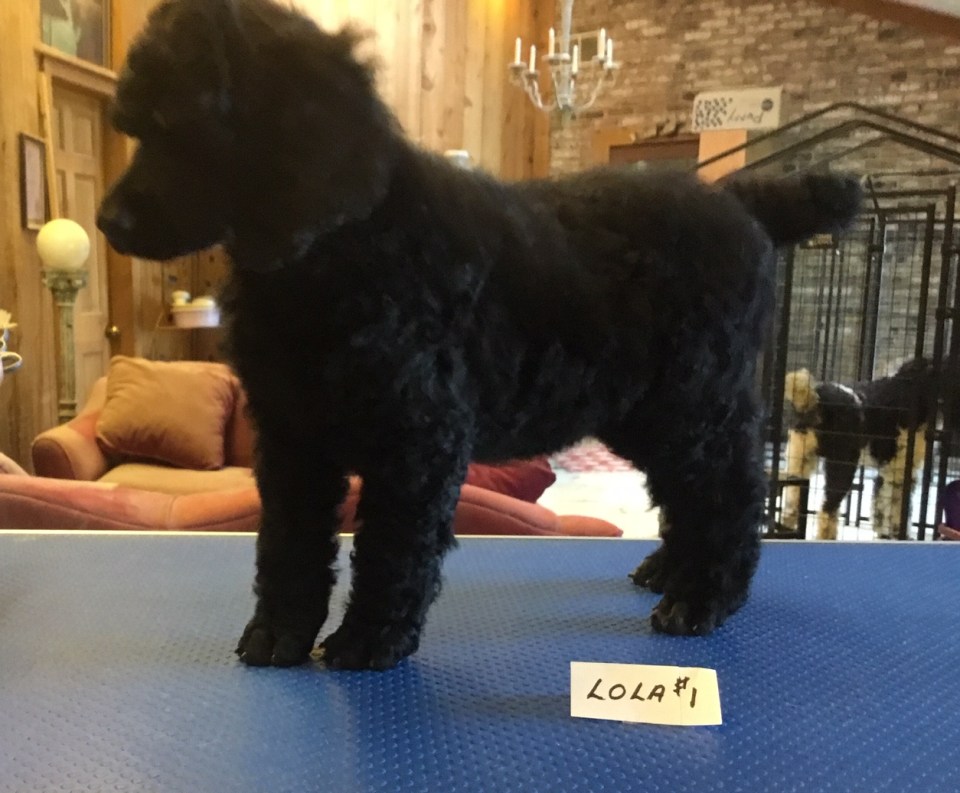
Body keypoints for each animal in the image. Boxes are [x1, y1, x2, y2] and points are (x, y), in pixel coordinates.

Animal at [96, 0, 862, 670]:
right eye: (132, 126)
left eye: (179, 123)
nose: (107, 222)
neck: (333, 250)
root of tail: (742, 204)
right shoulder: (292, 436)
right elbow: (288, 542)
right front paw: (278, 634)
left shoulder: (417, 436)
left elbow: (392, 546)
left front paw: (368, 640)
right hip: (648, 410)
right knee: (690, 490)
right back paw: (670, 570)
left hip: (694, 399)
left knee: (728, 488)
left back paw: (705, 597)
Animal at [781, 358, 936, 540]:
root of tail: (816, 399)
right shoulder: (900, 469)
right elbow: (898, 505)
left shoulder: (888, 470)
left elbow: (881, 501)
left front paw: (883, 531)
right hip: (842, 465)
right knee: (827, 507)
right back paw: (827, 536)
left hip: (800, 457)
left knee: (793, 497)